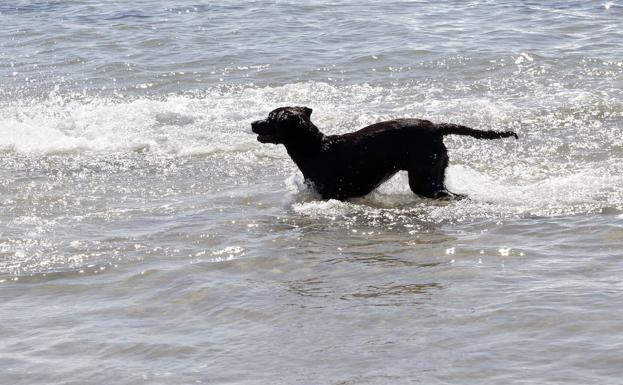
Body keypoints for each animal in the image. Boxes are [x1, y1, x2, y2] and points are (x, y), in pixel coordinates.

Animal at [251, 106, 520, 200]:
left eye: (271, 118)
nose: (253, 123)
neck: (316, 148)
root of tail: (436, 127)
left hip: (423, 178)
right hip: (433, 172)